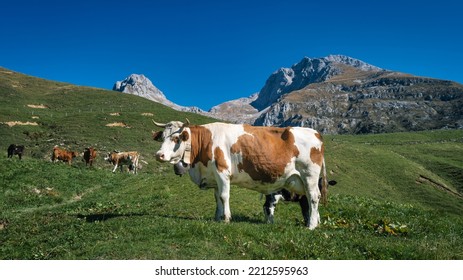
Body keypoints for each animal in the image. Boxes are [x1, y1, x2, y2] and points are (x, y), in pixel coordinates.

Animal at [154, 118, 328, 230]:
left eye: (176, 138)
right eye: (162, 137)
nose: (159, 155)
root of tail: (316, 133)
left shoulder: (222, 171)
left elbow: (224, 196)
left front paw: (226, 219)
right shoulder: (214, 176)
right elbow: (217, 197)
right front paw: (217, 218)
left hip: (310, 175)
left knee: (314, 197)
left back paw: (311, 226)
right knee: (311, 198)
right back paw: (316, 222)